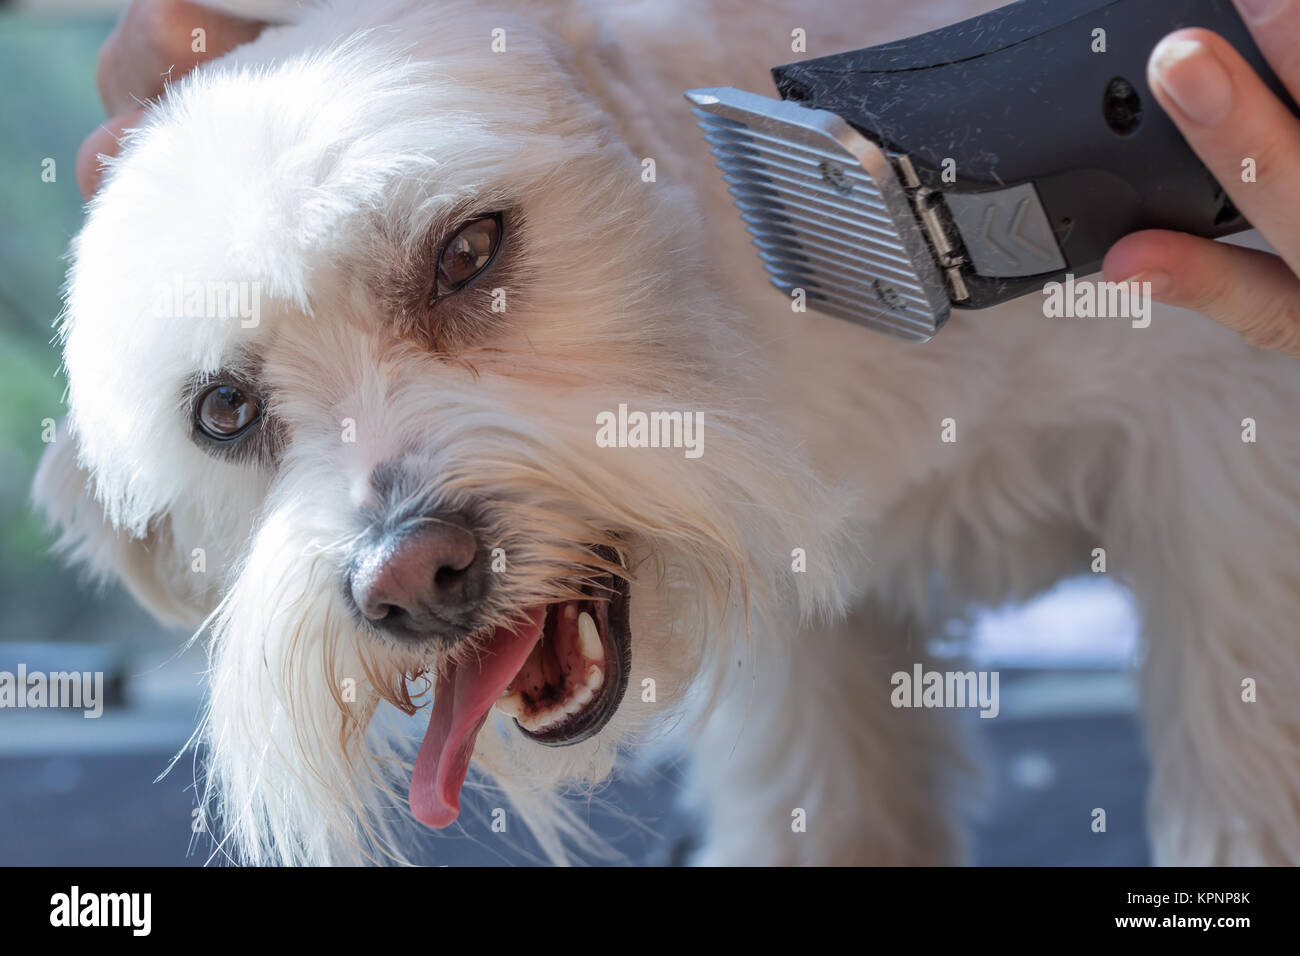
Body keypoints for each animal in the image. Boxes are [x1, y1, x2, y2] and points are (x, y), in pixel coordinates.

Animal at [32, 0, 1300, 868]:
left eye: (468, 249)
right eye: (223, 411)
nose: (412, 576)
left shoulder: (1229, 486)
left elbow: (1241, 783)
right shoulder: (808, 657)